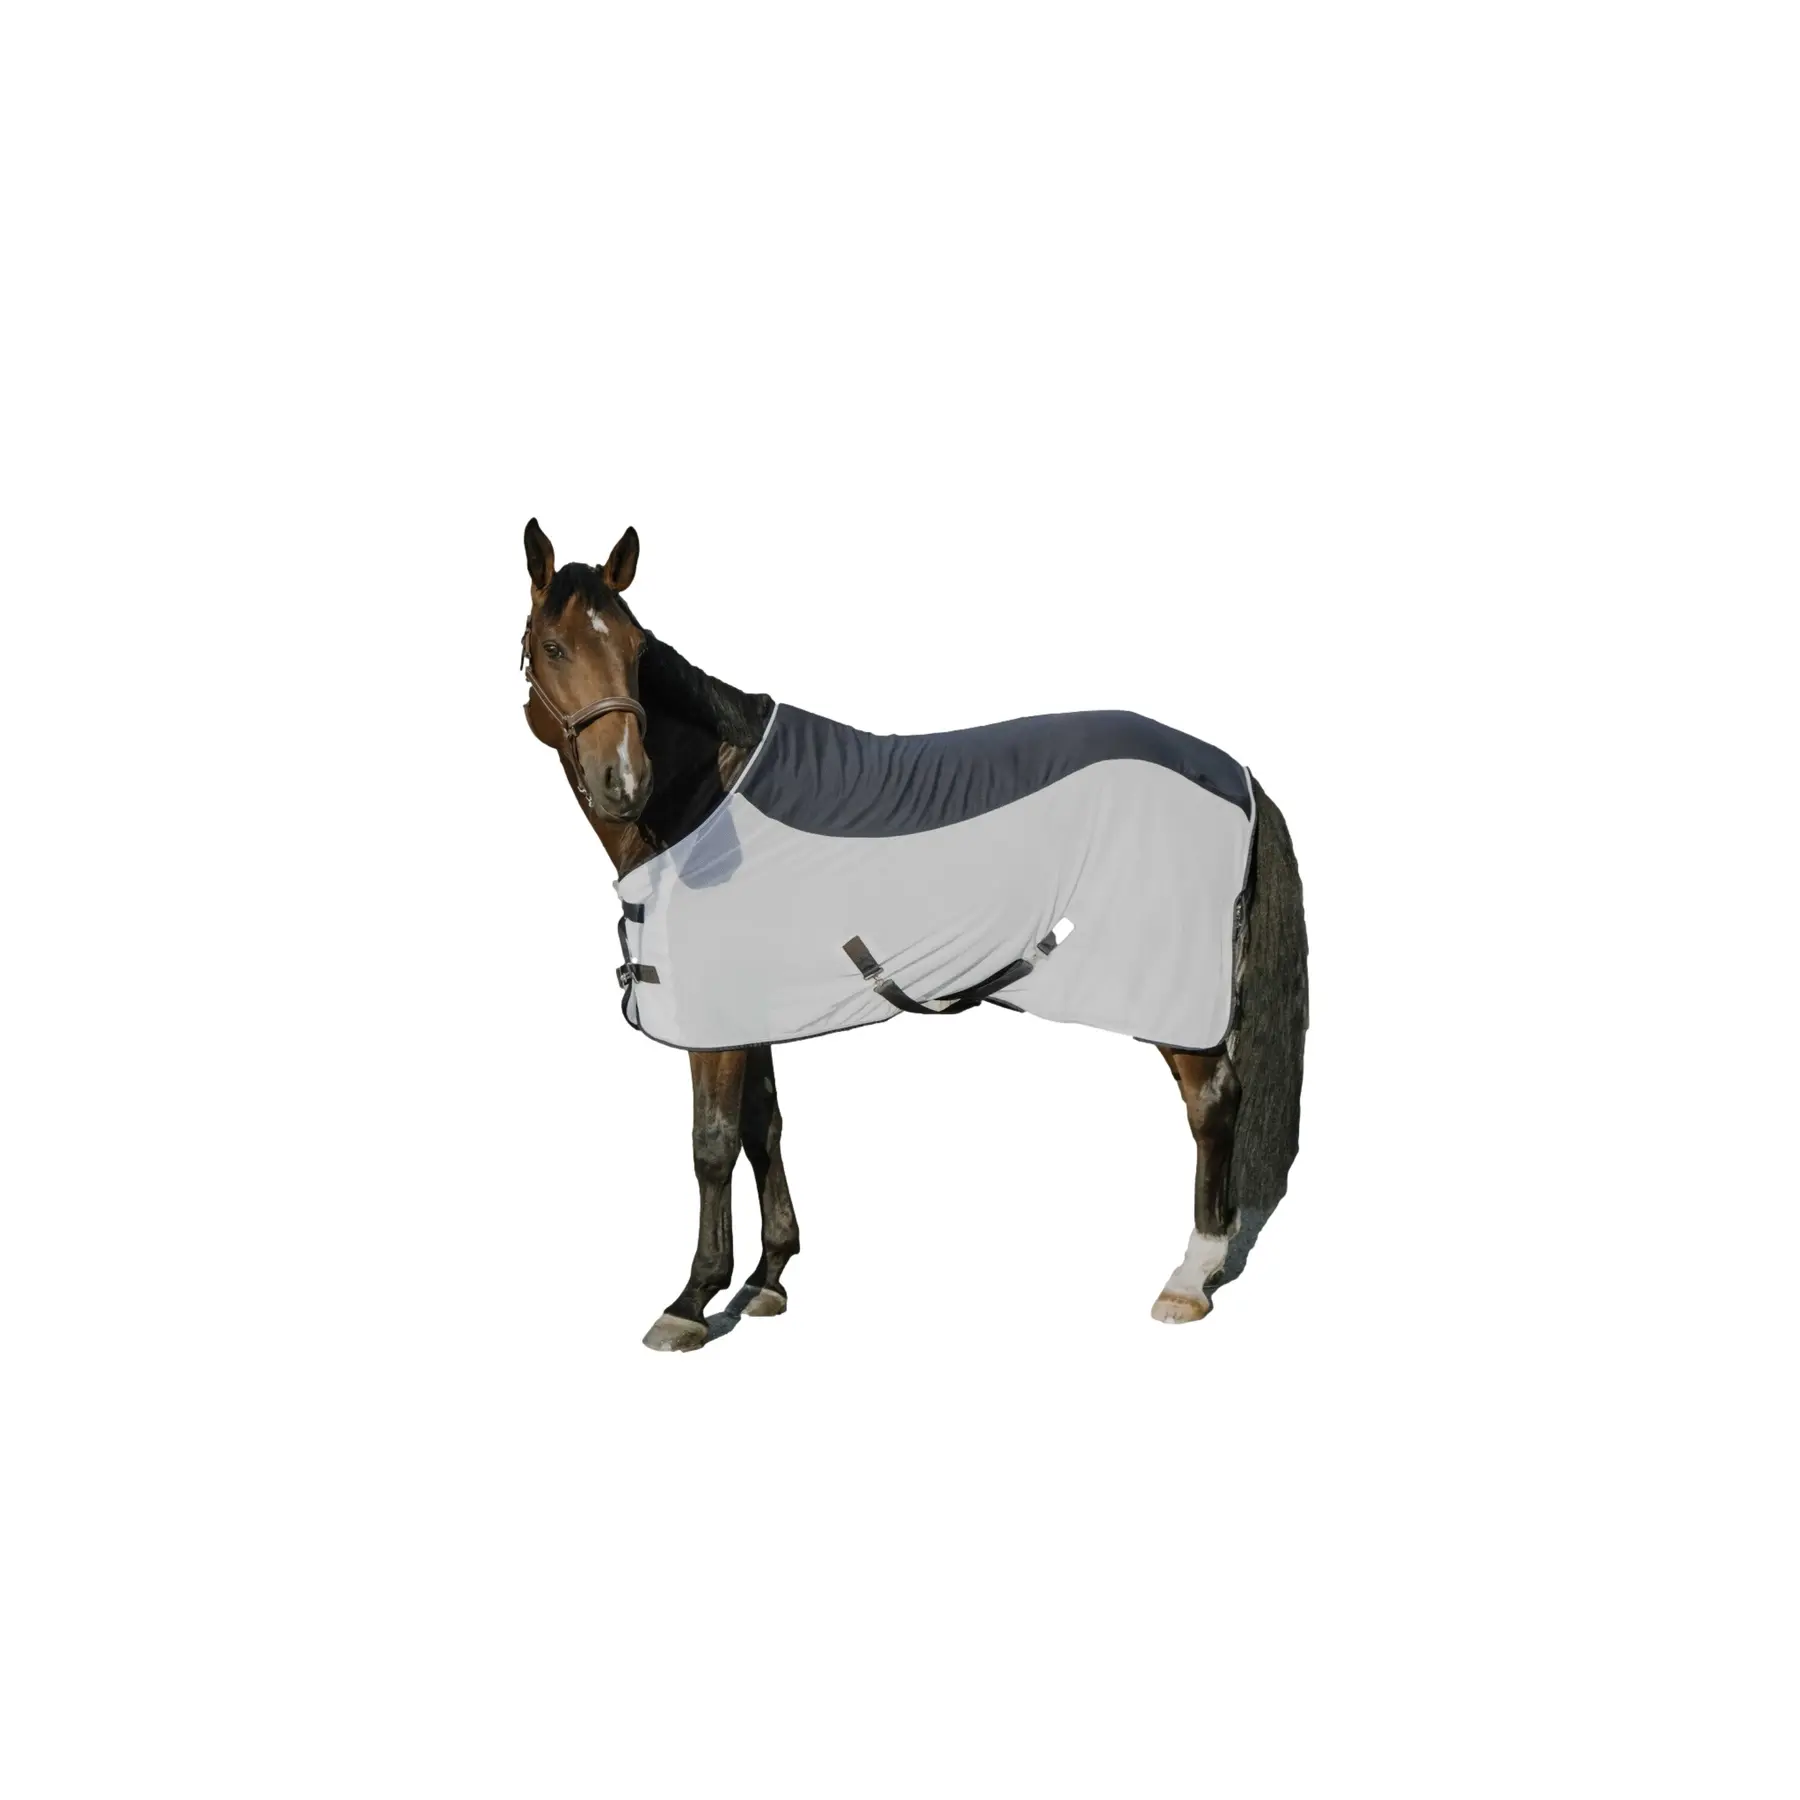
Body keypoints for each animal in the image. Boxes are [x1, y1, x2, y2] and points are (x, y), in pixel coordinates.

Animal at [518, 517, 1307, 1351]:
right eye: (554, 646)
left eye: (637, 649)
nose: (624, 781)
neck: (709, 791)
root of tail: (1232, 771)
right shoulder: (748, 1010)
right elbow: (765, 1129)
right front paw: (767, 1278)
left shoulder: (712, 1022)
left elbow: (713, 1145)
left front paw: (693, 1300)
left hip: (1173, 988)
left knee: (1212, 1103)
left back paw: (1191, 1278)